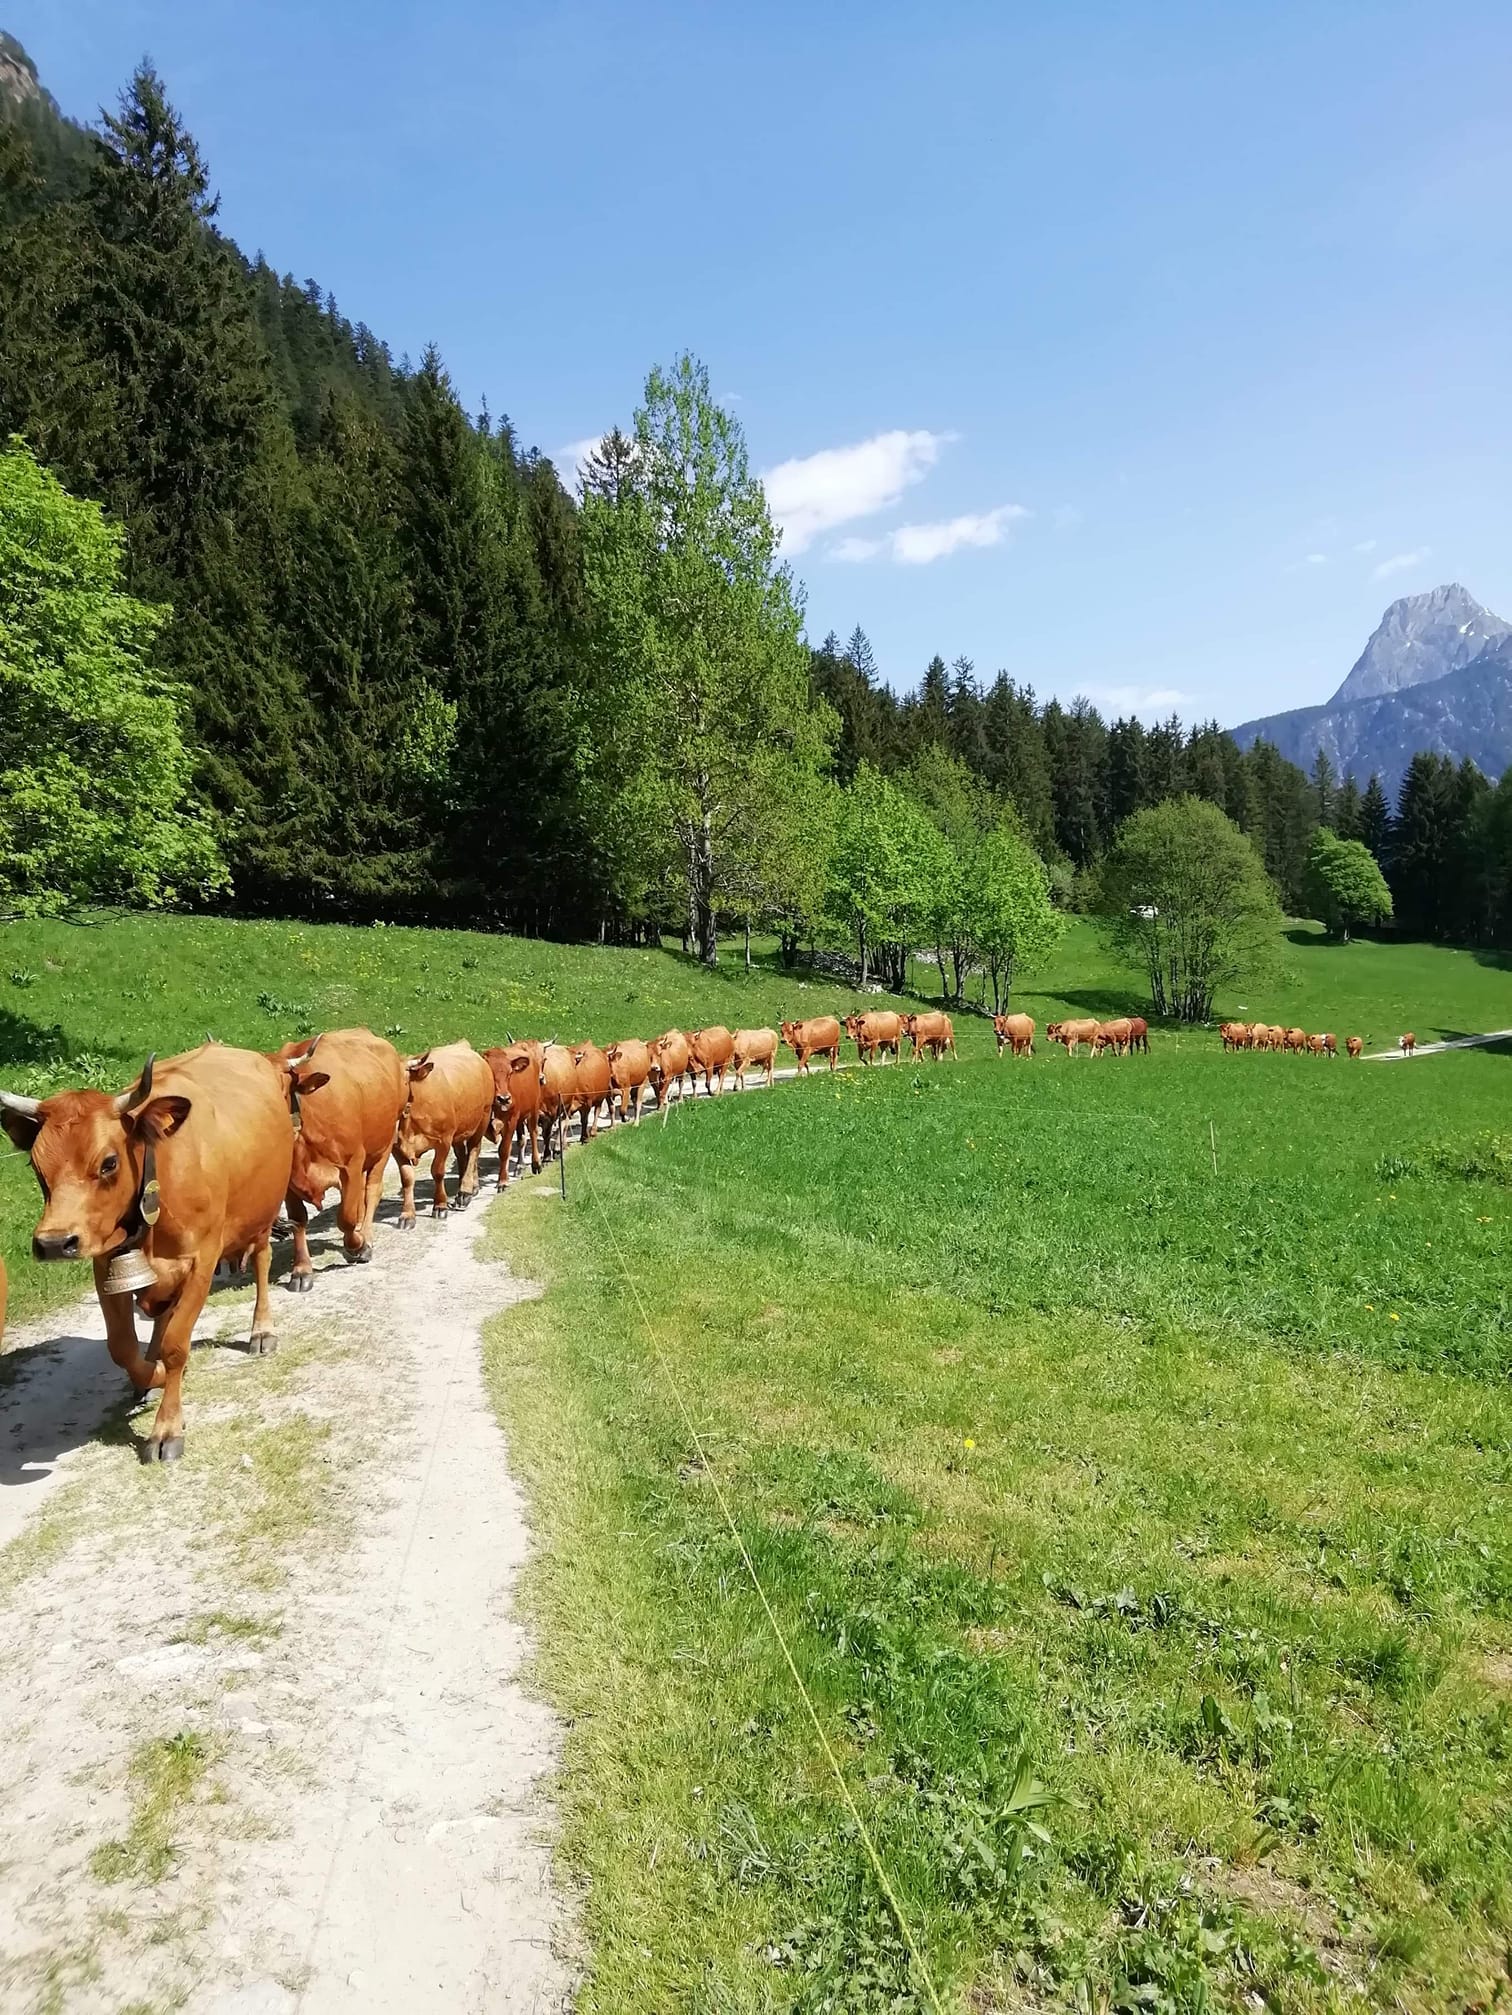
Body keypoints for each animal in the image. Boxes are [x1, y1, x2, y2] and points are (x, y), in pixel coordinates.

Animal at [1, 1045, 295, 1462]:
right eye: (36, 1165)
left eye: (108, 1162)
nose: (54, 1242)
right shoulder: (106, 1262)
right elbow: (122, 1346)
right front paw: (150, 1375)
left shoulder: (203, 1261)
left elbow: (176, 1346)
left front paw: (166, 1426)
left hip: (263, 1215)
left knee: (262, 1260)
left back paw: (261, 1329)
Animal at [275, 1027, 407, 1291]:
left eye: (281, 1087)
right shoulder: (289, 1183)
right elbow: (298, 1220)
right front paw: (301, 1271)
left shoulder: (351, 1165)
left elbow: (346, 1217)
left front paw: (358, 1247)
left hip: (384, 1143)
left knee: (371, 1191)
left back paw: (366, 1237)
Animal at [393, 1041, 494, 1226]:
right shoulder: (396, 1148)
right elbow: (407, 1178)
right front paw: (407, 1215)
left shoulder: (443, 1140)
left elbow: (438, 1172)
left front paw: (440, 1206)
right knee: (462, 1154)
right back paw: (470, 1186)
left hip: (483, 1117)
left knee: (474, 1151)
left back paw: (465, 1191)